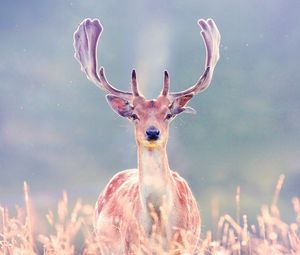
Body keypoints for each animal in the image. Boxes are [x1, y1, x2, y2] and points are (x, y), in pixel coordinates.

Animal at [74, 16, 220, 254]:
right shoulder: (132, 245)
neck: (159, 223)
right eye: (134, 114)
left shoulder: (184, 244)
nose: (152, 132)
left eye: (168, 114)